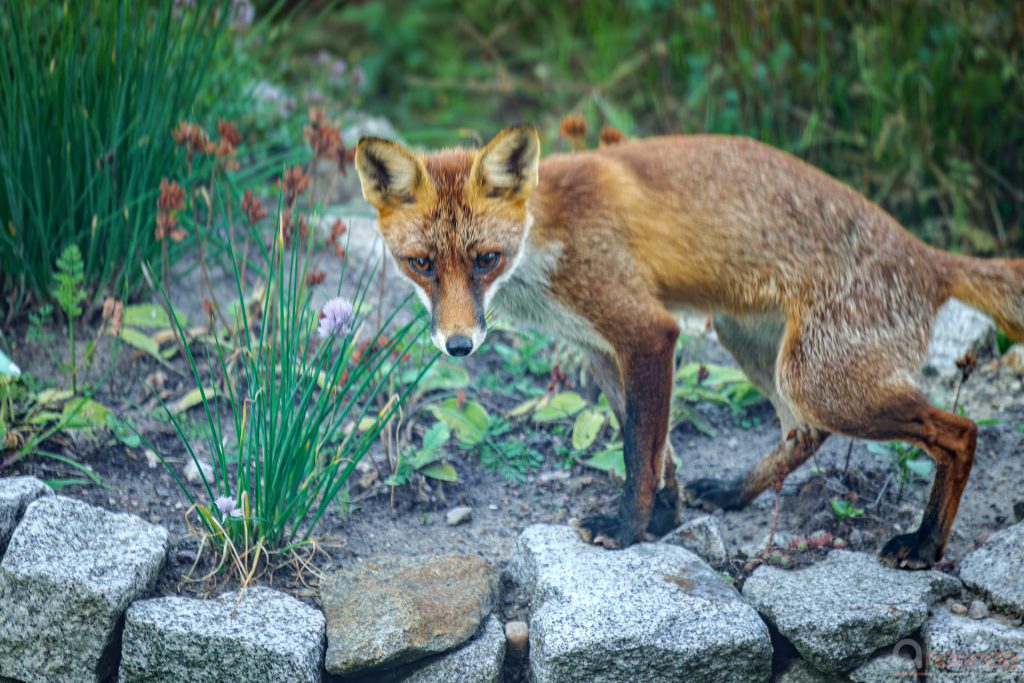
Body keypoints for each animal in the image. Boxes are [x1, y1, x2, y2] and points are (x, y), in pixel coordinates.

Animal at [354, 125, 1024, 569]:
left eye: (485, 259)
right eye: (420, 264)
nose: (459, 346)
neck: (546, 244)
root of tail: (928, 256)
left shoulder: (647, 332)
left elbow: (636, 451)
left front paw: (627, 528)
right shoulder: (600, 349)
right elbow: (658, 449)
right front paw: (665, 517)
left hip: (820, 380)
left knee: (960, 432)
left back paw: (926, 543)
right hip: (754, 346)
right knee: (804, 432)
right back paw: (734, 492)